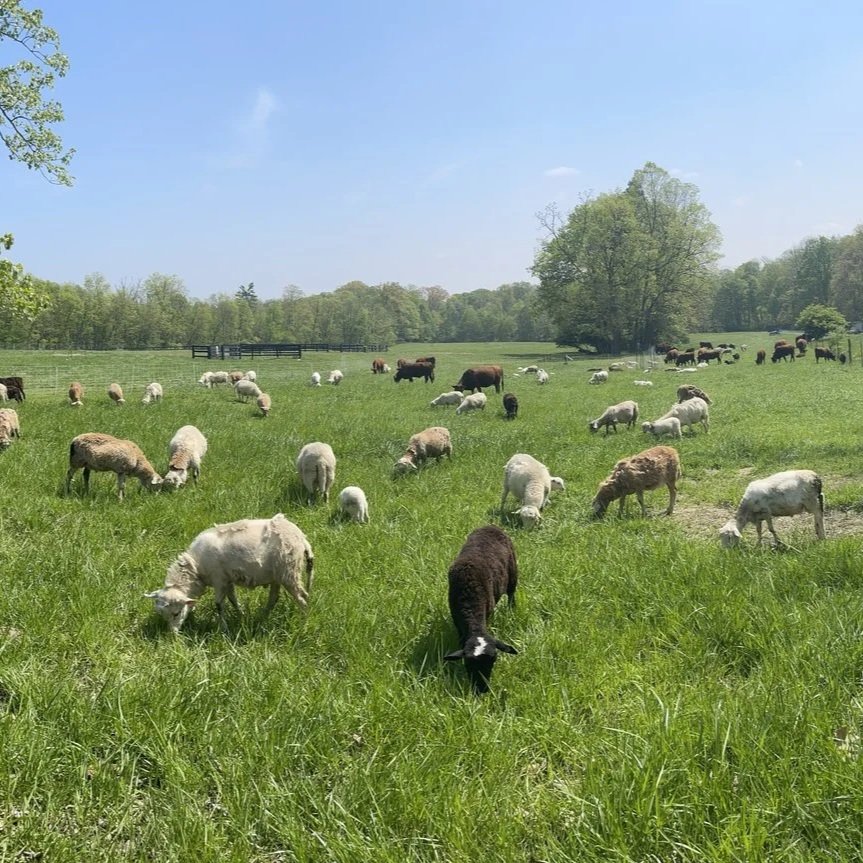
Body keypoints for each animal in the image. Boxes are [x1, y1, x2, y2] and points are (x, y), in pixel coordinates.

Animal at [145, 513, 314, 633]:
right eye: (162, 615)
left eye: (176, 613)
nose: (173, 634)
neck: (196, 567)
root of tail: (301, 538)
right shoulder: (228, 580)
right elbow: (233, 599)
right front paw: (241, 615)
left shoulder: (219, 579)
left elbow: (219, 605)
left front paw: (223, 628)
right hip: (278, 576)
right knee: (274, 598)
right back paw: (261, 618)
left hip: (289, 571)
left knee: (302, 598)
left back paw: (304, 623)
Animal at [443, 525, 518, 693]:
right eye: (468, 663)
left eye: (494, 660)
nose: (482, 690)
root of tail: (491, 525)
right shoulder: (457, 621)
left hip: (513, 572)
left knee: (511, 593)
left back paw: (512, 610)